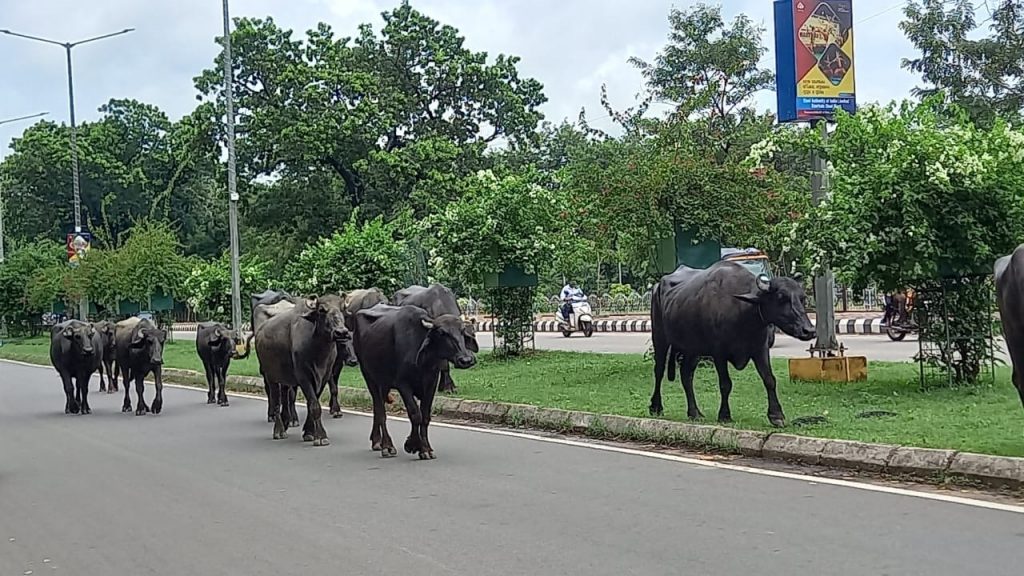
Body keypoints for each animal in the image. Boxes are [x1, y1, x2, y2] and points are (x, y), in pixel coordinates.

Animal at [352, 305, 475, 457]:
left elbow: (425, 416)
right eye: (442, 332)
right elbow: (415, 414)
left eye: (462, 331)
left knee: (377, 408)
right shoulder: (403, 385)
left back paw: (376, 441)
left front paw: (426, 449)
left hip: (383, 382)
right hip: (368, 375)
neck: (423, 361)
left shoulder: (431, 383)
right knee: (381, 412)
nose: (466, 360)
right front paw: (413, 444)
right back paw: (387, 446)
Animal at [647, 260, 815, 426]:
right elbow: (725, 384)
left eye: (802, 298)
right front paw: (724, 415)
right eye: (781, 297)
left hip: (693, 350)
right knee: (658, 371)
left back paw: (694, 413)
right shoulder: (719, 353)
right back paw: (656, 407)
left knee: (686, 375)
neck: (744, 315)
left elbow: (769, 379)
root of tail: (658, 285)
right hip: (660, 338)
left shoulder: (760, 349)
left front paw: (776, 415)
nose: (809, 330)